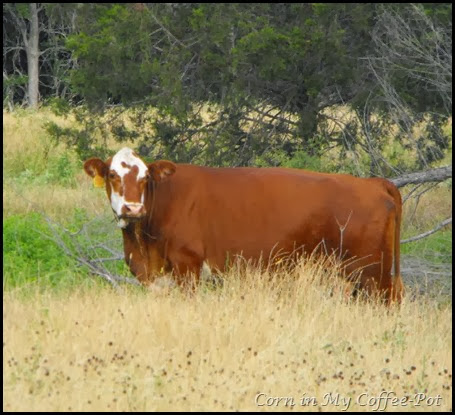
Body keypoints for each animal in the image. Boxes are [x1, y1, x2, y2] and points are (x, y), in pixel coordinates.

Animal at [83, 148, 404, 304]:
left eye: (146, 177)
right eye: (112, 175)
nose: (133, 208)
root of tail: (372, 183)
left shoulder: (188, 267)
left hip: (372, 273)